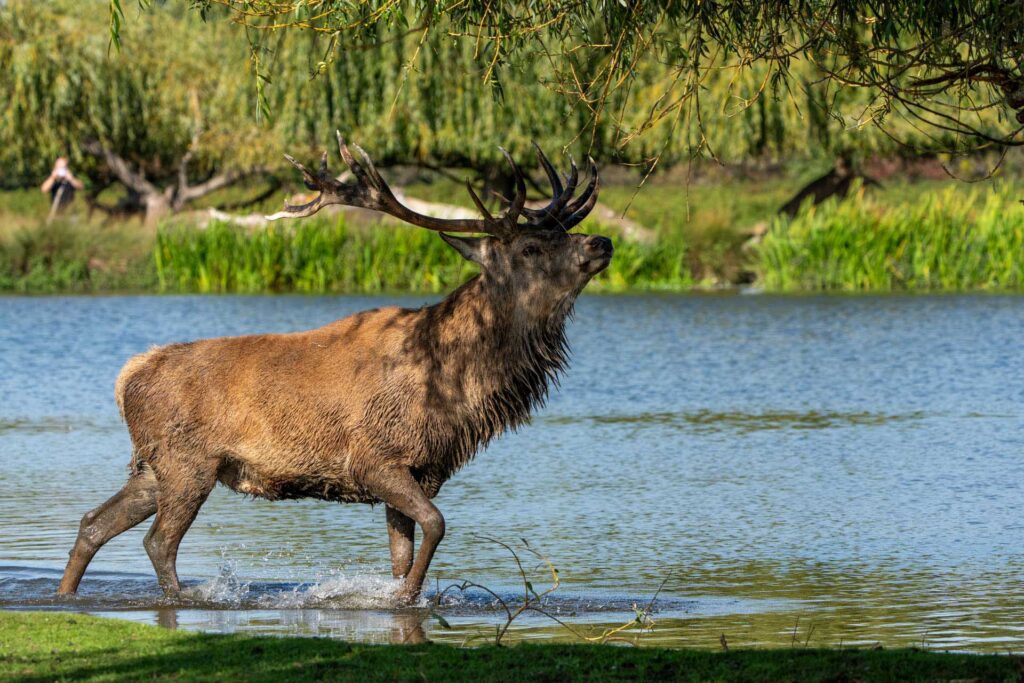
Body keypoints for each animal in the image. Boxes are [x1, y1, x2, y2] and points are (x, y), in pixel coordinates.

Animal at [57, 133, 612, 604]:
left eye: (563, 231)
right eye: (531, 247)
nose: (602, 242)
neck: (455, 389)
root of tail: (128, 377)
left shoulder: (421, 469)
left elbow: (402, 554)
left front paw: (401, 595)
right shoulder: (374, 457)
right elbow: (436, 525)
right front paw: (404, 600)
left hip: (154, 466)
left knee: (92, 522)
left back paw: (65, 594)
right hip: (187, 463)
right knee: (158, 542)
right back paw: (184, 599)